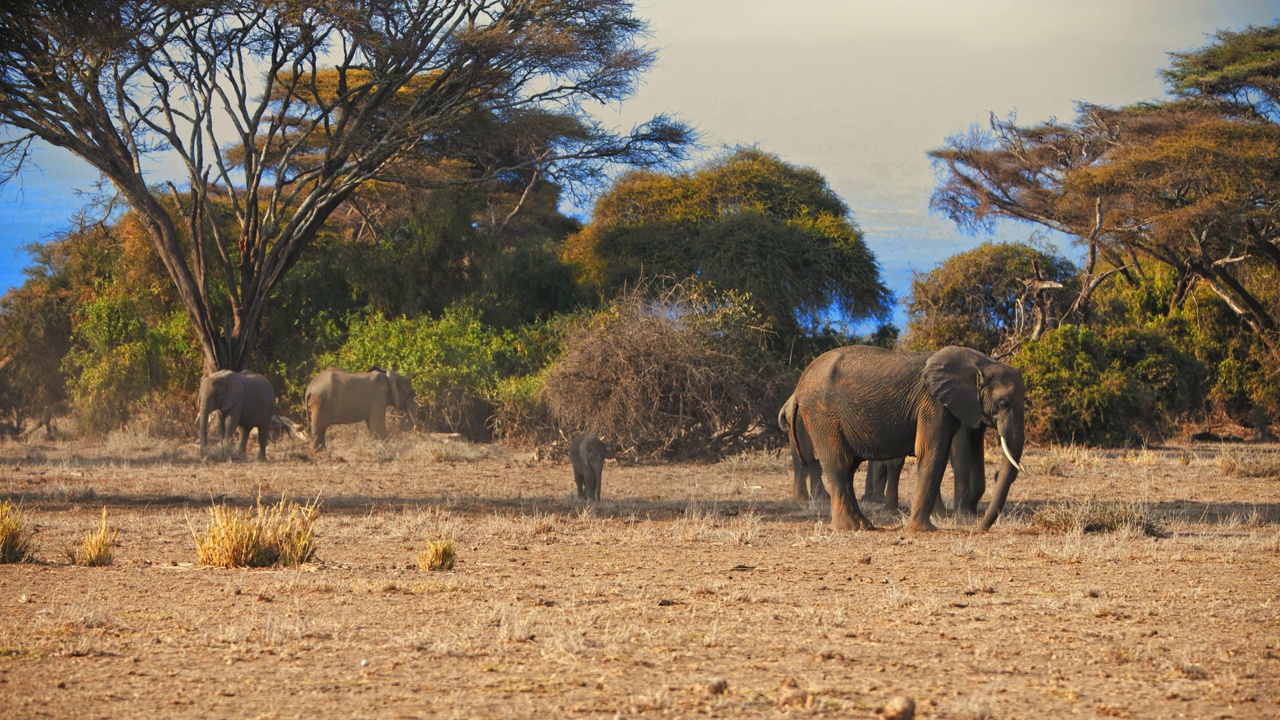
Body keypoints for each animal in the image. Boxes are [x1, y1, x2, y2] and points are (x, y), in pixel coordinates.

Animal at [783, 345, 1024, 530]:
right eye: (1003, 404)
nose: (980, 528)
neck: (979, 363)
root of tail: (799, 385)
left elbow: (941, 455)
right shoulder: (932, 404)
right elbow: (932, 452)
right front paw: (923, 530)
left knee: (849, 468)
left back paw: (865, 526)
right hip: (822, 415)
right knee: (839, 463)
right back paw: (849, 527)